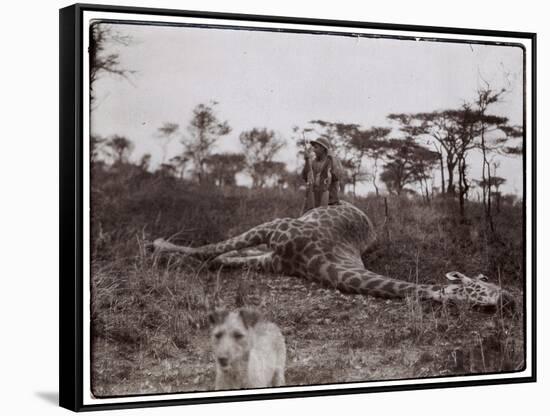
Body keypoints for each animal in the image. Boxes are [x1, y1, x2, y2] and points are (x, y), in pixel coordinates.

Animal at [154, 202, 516, 308]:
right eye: (482, 283)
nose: (510, 299)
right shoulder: (273, 227)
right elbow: (209, 249)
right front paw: (160, 247)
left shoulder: (274, 261)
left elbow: (222, 258)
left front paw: (170, 253)